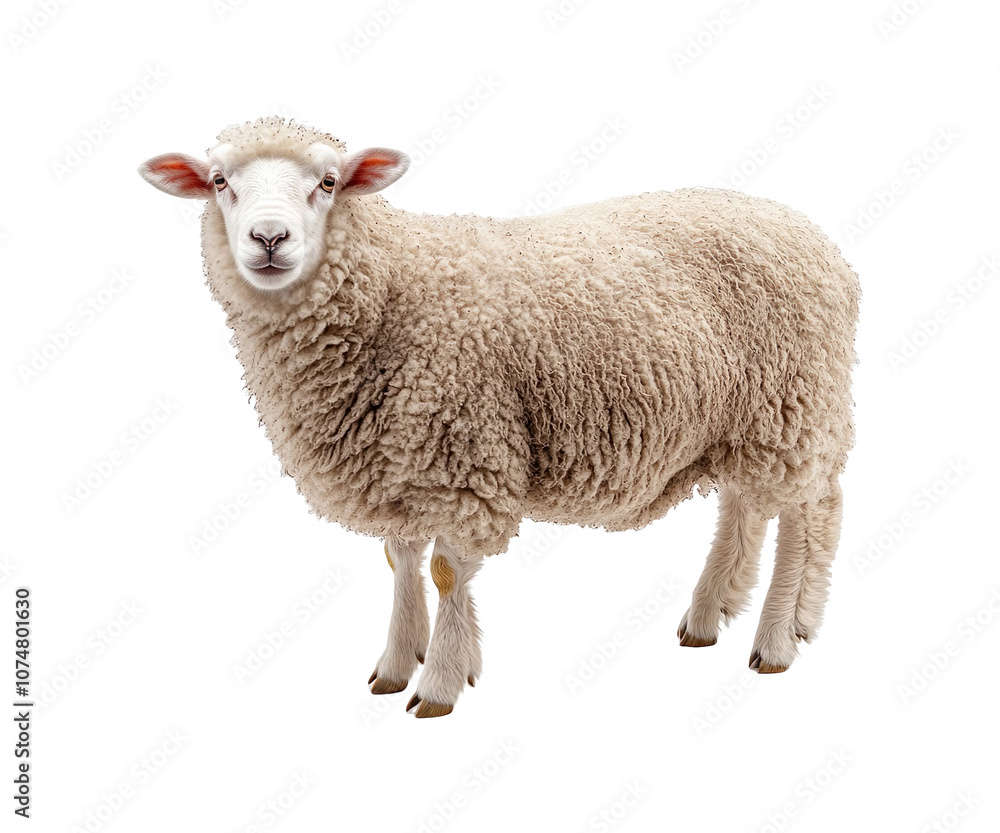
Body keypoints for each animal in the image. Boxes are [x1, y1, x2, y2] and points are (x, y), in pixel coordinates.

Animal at [139, 117, 859, 718]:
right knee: (747, 504)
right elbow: (400, 560)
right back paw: (711, 614)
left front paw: (439, 683)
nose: (269, 239)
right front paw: (397, 663)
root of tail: (820, 243)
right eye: (220, 182)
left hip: (792, 402)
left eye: (328, 182)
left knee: (805, 515)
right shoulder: (399, 457)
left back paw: (777, 639)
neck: (392, 288)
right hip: (745, 415)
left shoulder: (462, 452)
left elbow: (445, 572)